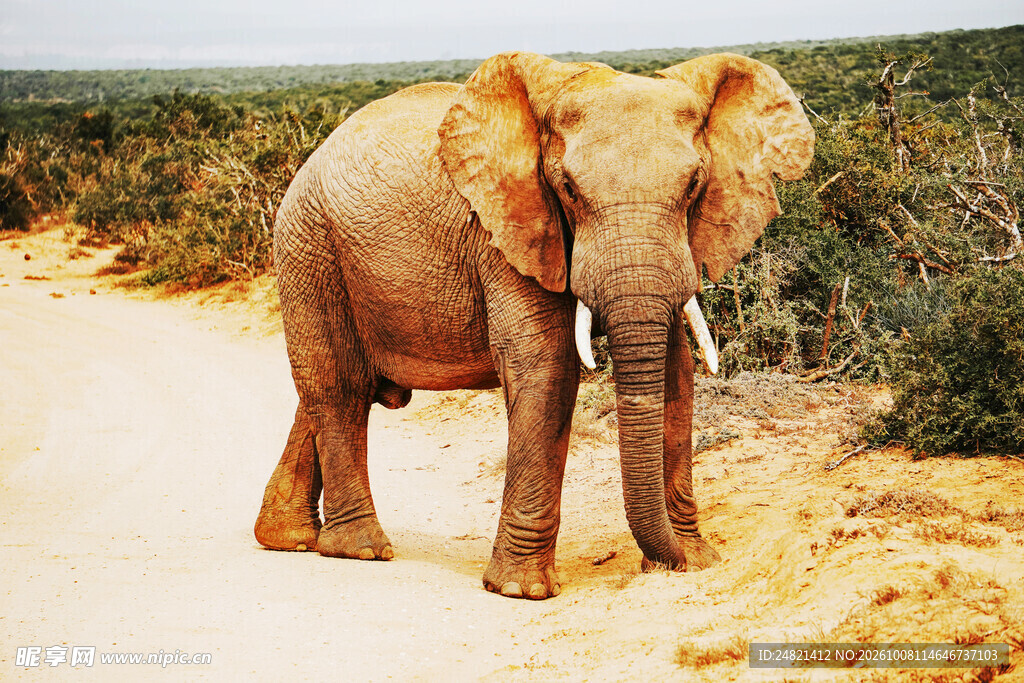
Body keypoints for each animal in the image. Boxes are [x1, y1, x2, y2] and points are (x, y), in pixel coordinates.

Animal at [254, 51, 814, 599]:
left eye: (695, 184)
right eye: (567, 188)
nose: (668, 561)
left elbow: (677, 369)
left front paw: (695, 561)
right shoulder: (507, 229)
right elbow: (546, 364)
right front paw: (520, 590)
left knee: (334, 391)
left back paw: (287, 538)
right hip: (309, 245)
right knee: (339, 387)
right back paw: (360, 549)